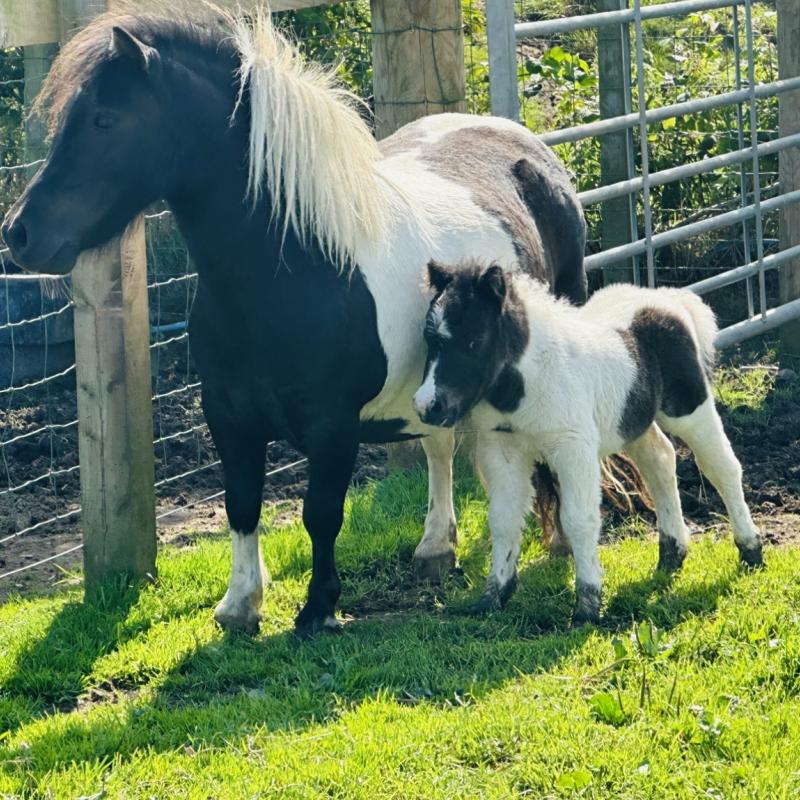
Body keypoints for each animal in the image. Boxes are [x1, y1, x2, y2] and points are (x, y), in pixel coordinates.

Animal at [1, 4, 588, 632]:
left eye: (105, 119)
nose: (20, 233)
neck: (295, 271)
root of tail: (527, 144)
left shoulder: (332, 426)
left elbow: (321, 514)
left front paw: (317, 609)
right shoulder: (227, 415)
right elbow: (241, 504)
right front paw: (239, 604)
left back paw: (559, 542)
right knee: (438, 445)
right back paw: (435, 548)